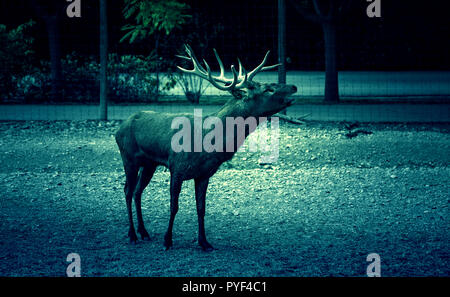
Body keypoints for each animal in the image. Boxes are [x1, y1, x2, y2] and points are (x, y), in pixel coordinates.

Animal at [114, 44, 298, 250]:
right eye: (268, 89)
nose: (293, 86)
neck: (209, 143)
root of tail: (118, 129)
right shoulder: (177, 167)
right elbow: (174, 206)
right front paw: (167, 240)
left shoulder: (204, 174)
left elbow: (201, 208)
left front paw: (204, 242)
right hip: (128, 158)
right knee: (128, 190)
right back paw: (132, 235)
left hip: (149, 164)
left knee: (138, 191)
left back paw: (144, 232)